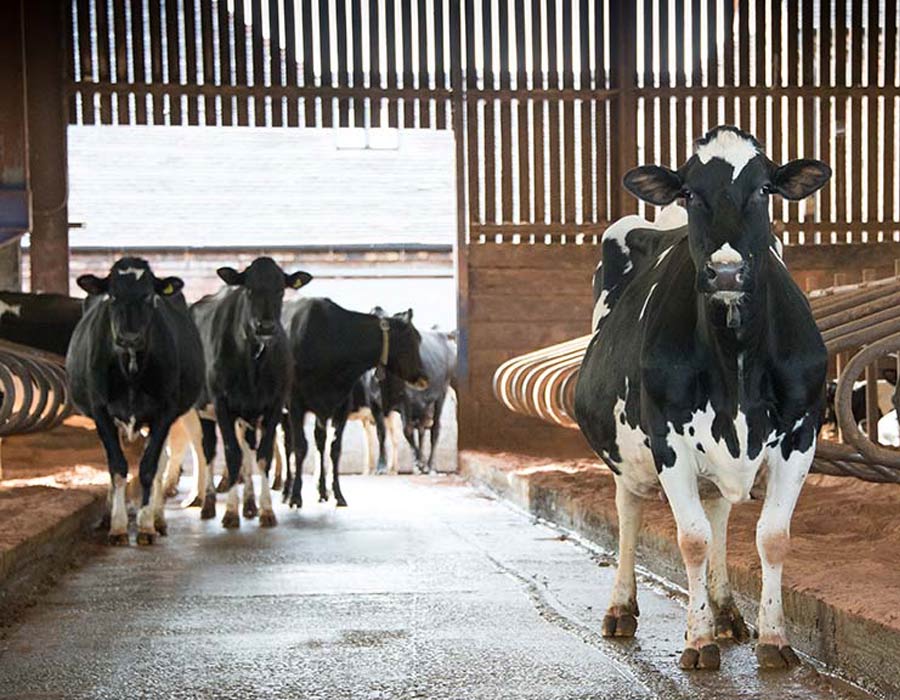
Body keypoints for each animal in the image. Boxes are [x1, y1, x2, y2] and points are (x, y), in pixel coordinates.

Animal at [66, 258, 205, 548]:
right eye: (112, 296)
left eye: (149, 296)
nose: (129, 337)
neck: (130, 367)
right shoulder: (101, 412)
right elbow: (117, 466)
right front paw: (118, 526)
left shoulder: (164, 412)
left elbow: (149, 468)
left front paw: (145, 525)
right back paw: (108, 516)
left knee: (162, 463)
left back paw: (159, 519)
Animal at [192, 260, 312, 528]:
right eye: (248, 289)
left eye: (281, 290)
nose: (265, 326)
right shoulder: (222, 403)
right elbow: (231, 455)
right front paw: (229, 512)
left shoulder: (274, 404)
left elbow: (263, 455)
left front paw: (266, 510)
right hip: (204, 411)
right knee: (209, 450)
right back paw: (208, 504)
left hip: (248, 415)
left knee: (248, 449)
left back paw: (249, 504)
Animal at [284, 296, 428, 508]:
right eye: (414, 339)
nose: (424, 377)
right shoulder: (295, 403)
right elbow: (300, 447)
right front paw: (295, 496)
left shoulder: (342, 406)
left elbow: (335, 449)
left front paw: (338, 495)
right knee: (288, 447)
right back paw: (286, 491)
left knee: (319, 442)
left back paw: (322, 491)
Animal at [576, 127, 828, 672]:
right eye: (691, 193)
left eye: (765, 190)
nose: (727, 272)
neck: (736, 360)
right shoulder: (668, 440)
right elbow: (691, 539)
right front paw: (697, 640)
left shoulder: (800, 436)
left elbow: (772, 537)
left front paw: (773, 639)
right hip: (626, 451)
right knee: (629, 510)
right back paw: (622, 608)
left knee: (718, 513)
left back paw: (726, 610)